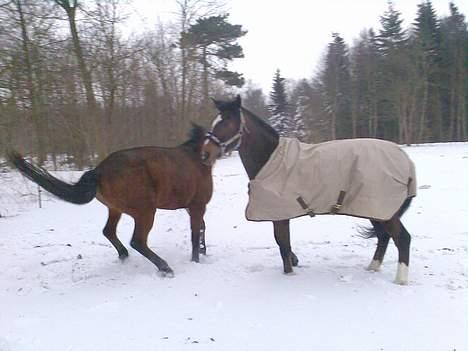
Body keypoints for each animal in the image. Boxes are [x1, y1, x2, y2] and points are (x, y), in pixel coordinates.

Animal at [8, 125, 213, 276]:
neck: (197, 157)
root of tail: (98, 171)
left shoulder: (193, 207)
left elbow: (201, 227)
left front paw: (203, 252)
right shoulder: (197, 205)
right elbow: (197, 230)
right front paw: (197, 257)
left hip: (115, 209)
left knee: (109, 231)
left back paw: (124, 256)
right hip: (145, 212)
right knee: (137, 241)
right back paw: (165, 267)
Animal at [200, 96, 414, 286]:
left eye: (228, 121)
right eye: (215, 121)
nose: (205, 154)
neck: (271, 160)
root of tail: (405, 161)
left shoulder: (280, 215)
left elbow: (283, 244)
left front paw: (289, 275)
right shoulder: (279, 214)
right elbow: (283, 244)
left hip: (384, 211)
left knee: (402, 238)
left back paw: (400, 280)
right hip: (375, 210)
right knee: (384, 237)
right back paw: (372, 268)